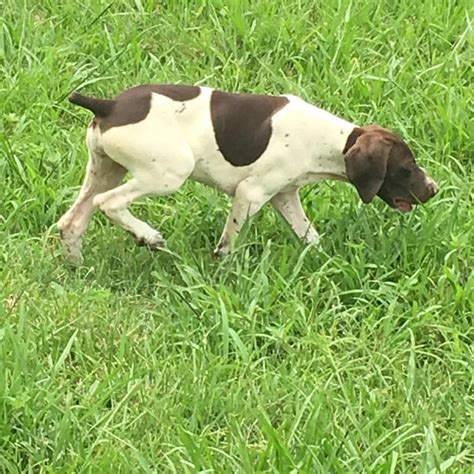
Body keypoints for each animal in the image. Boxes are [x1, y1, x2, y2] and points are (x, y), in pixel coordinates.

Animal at [57, 85, 438, 262]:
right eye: (406, 169)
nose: (433, 188)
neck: (328, 139)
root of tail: (109, 105)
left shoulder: (285, 197)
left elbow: (310, 238)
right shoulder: (251, 194)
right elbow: (228, 244)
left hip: (105, 169)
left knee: (71, 221)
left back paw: (78, 267)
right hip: (166, 173)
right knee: (109, 204)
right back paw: (148, 237)